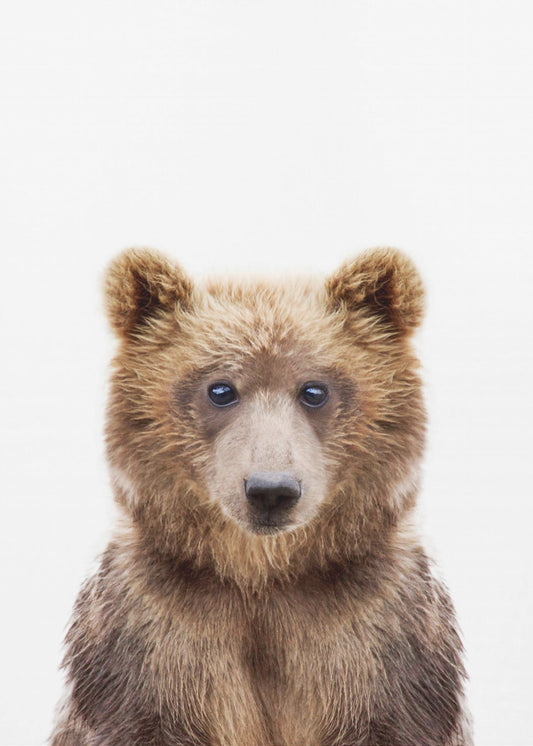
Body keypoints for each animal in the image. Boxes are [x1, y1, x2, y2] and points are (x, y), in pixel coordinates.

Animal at [50, 247, 472, 746]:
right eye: (220, 389)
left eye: (314, 390)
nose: (271, 490)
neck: (262, 575)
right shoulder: (150, 638)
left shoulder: (379, 638)